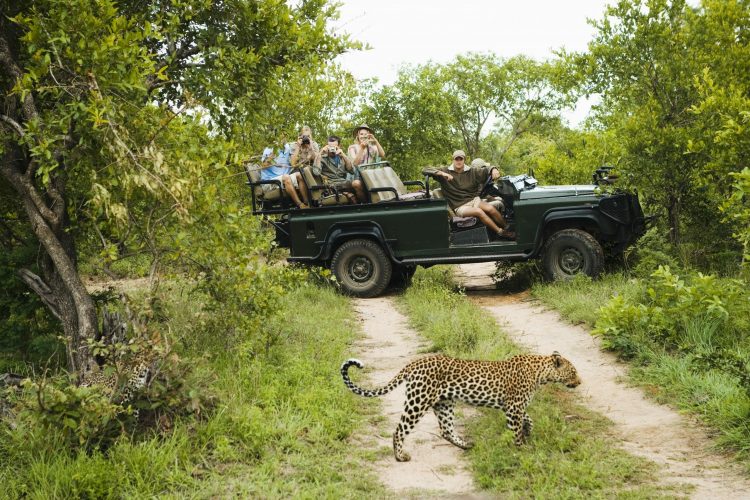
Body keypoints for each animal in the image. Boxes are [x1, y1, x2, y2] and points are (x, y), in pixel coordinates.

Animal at [344, 352, 584, 460]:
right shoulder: (513, 407)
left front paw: (528, 431)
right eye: (573, 372)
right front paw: (520, 449)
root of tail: (414, 363)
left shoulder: (513, 407)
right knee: (399, 430)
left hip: (444, 403)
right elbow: (515, 430)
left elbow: (528, 419)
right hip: (418, 401)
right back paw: (400, 456)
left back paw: (466, 445)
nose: (580, 382)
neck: (541, 373)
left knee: (446, 429)